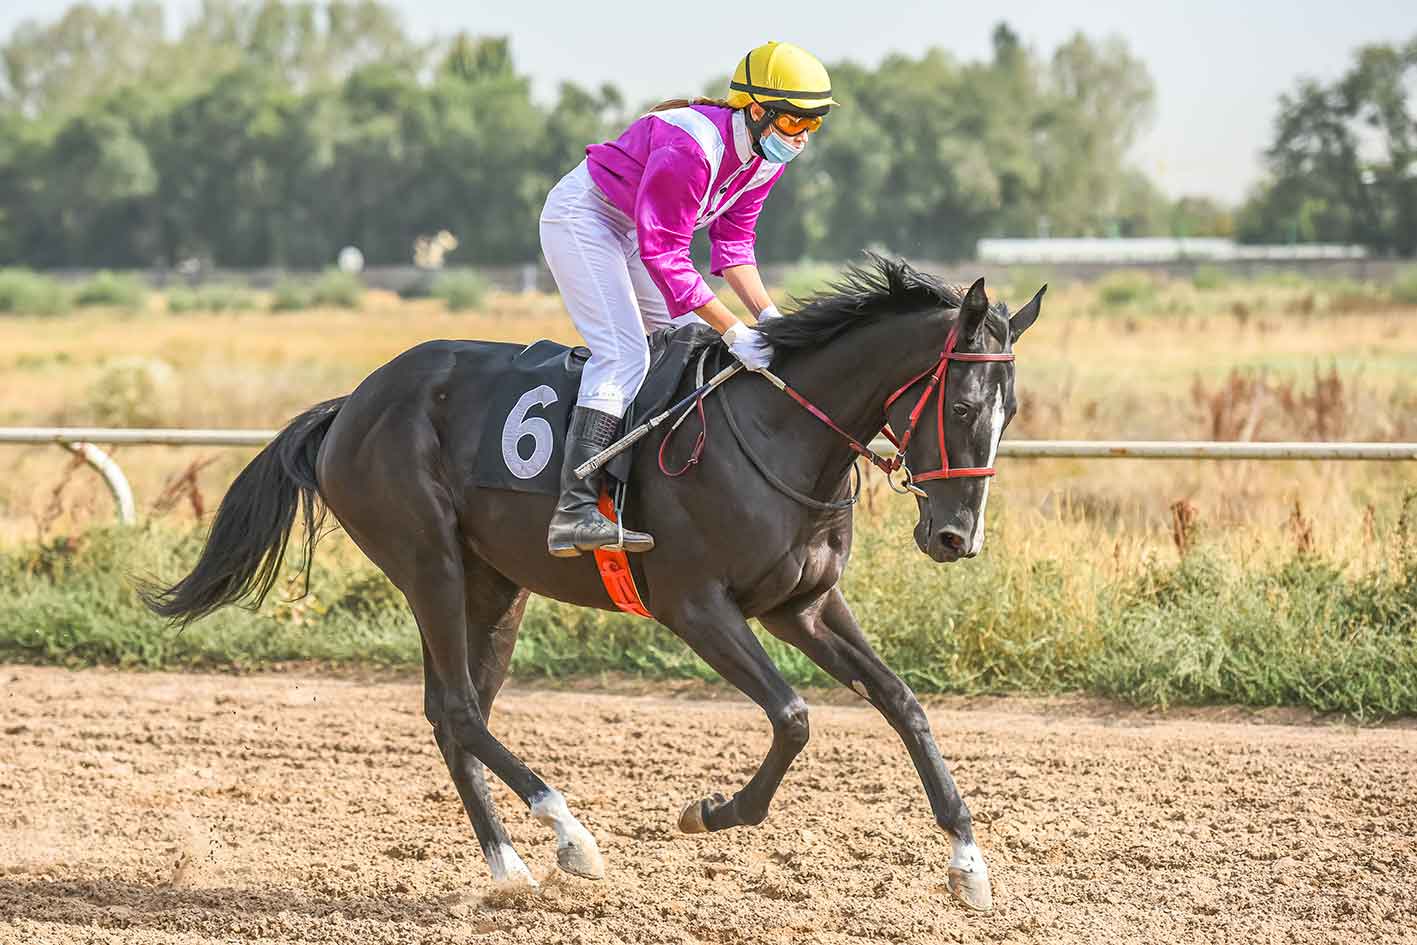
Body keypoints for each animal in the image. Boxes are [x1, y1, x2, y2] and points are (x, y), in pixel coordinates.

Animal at [141, 255, 1044, 912]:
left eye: (1009, 411)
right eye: (963, 406)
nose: (954, 536)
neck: (781, 432)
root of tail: (351, 404)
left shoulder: (803, 605)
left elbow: (903, 702)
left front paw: (968, 863)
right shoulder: (694, 605)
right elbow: (792, 717)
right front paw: (711, 810)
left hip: (494, 585)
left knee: (453, 713)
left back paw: (509, 865)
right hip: (427, 559)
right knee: (459, 708)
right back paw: (569, 833)